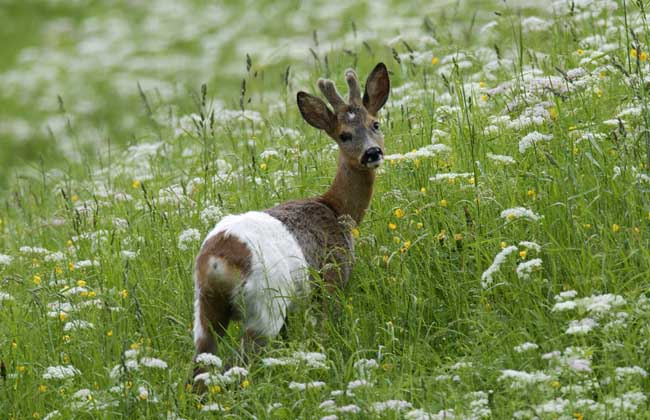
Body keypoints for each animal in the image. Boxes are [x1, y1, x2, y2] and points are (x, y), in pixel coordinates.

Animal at [190, 61, 388, 384]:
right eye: (344, 135)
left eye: (375, 124)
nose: (372, 152)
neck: (337, 210)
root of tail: (217, 262)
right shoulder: (331, 279)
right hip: (265, 306)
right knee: (238, 362)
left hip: (205, 310)